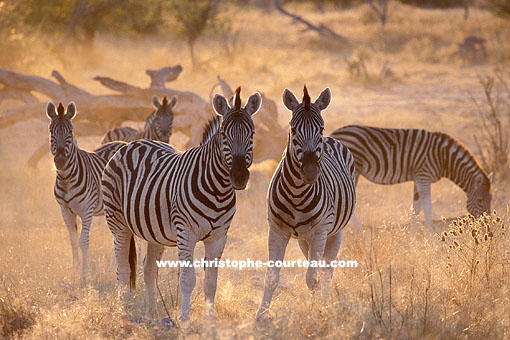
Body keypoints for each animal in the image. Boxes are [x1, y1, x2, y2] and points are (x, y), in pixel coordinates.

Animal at [46, 101, 126, 282]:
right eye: (51, 131)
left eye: (70, 132)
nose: (60, 161)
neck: (66, 179)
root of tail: (123, 143)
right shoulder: (65, 210)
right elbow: (73, 240)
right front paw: (74, 270)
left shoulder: (86, 210)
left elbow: (83, 241)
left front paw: (84, 274)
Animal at [102, 87, 262, 322]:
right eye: (224, 134)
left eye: (252, 134)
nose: (240, 177)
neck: (218, 189)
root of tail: (131, 144)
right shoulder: (186, 232)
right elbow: (188, 279)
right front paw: (185, 319)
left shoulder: (219, 236)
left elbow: (211, 282)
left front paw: (209, 322)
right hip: (118, 223)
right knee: (122, 269)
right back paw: (123, 311)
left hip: (154, 232)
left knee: (149, 269)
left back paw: (151, 315)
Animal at [256, 86, 356, 320]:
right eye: (293, 129)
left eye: (321, 127)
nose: (310, 172)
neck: (296, 193)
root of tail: (332, 139)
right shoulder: (276, 230)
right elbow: (271, 277)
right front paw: (261, 315)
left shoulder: (320, 231)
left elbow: (313, 277)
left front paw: (316, 311)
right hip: (304, 239)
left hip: (334, 233)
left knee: (326, 271)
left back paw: (327, 302)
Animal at [328, 124, 492, 226]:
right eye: (480, 200)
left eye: (491, 200)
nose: (488, 225)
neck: (444, 158)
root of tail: (332, 134)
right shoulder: (424, 176)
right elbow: (427, 206)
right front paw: (430, 232)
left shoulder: (418, 177)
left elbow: (416, 206)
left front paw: (414, 231)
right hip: (353, 171)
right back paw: (359, 229)